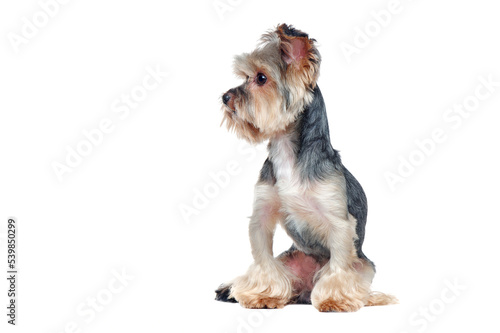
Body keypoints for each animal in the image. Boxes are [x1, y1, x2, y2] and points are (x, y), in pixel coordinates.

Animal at [217, 24, 396, 312]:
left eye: (261, 78)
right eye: (244, 77)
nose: (225, 97)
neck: (287, 150)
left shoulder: (339, 222)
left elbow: (339, 265)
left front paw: (334, 299)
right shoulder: (262, 214)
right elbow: (263, 259)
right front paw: (262, 294)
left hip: (363, 265)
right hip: (292, 259)